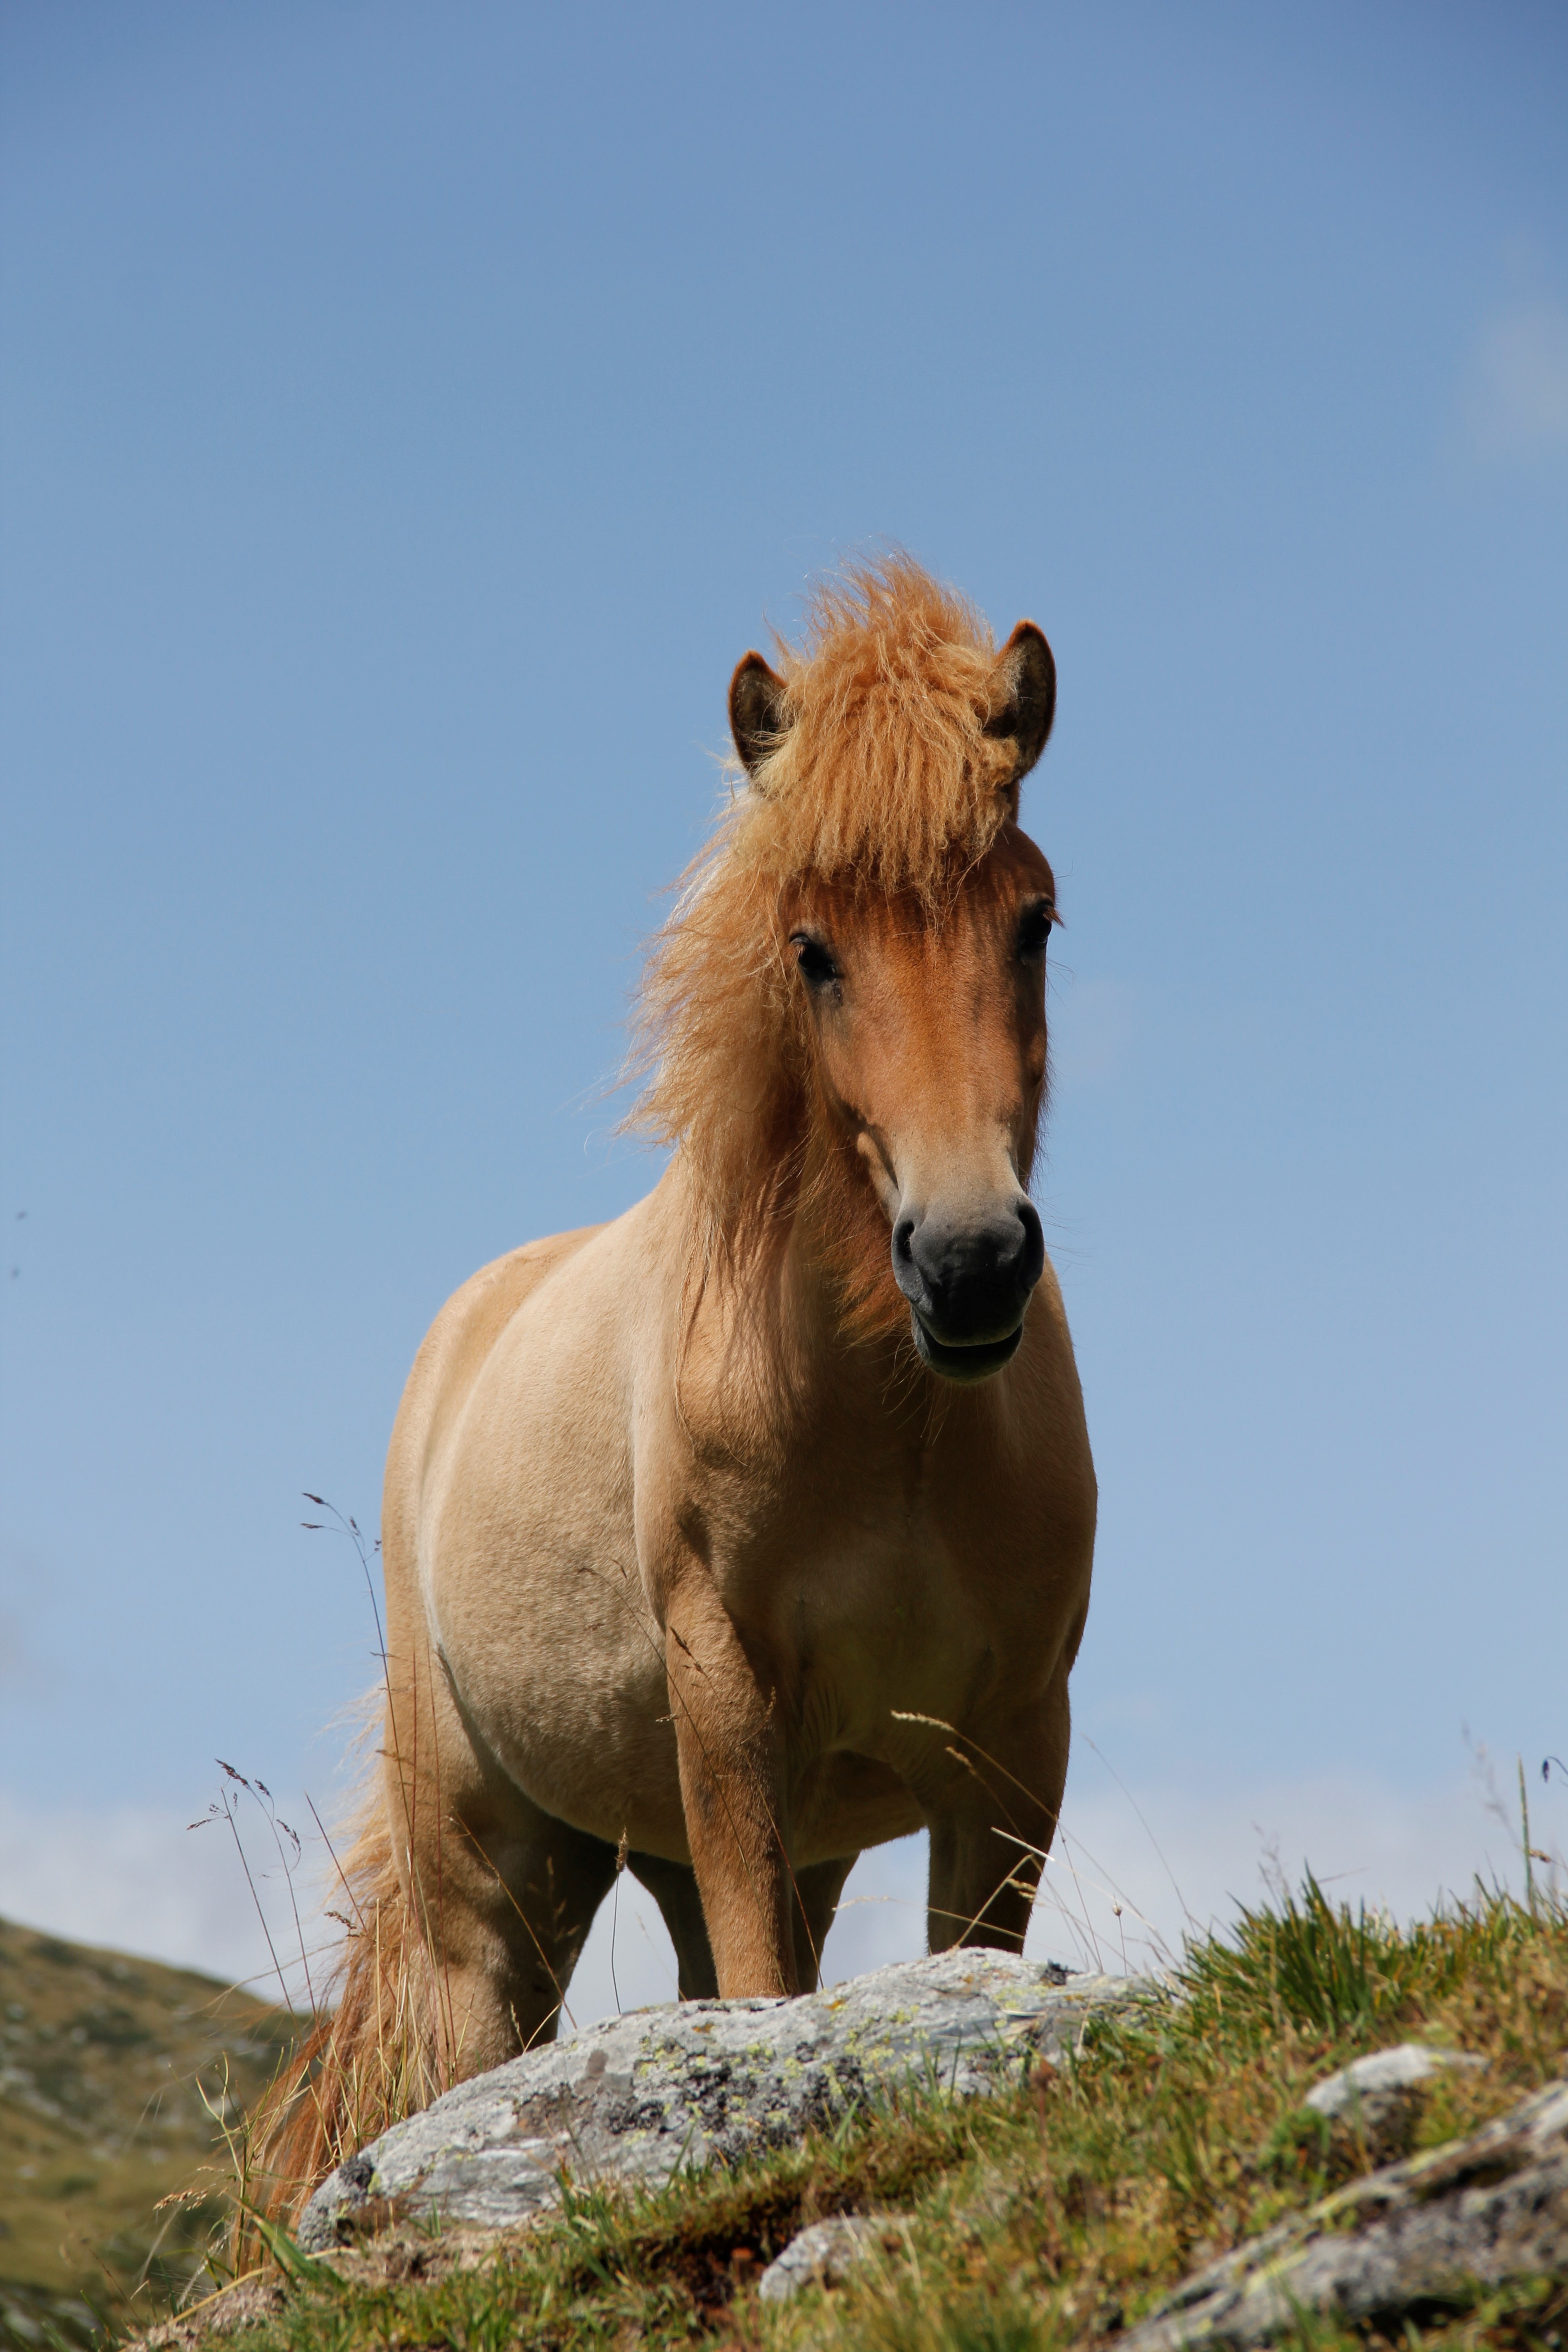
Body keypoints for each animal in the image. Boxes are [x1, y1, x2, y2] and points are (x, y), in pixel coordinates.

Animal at [270, 555, 1100, 2201]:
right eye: (813, 950)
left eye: (1032, 922)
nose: (969, 1259)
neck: (891, 1426)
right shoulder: (731, 1714)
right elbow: (769, 1996)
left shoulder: (1007, 1755)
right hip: (497, 1891)